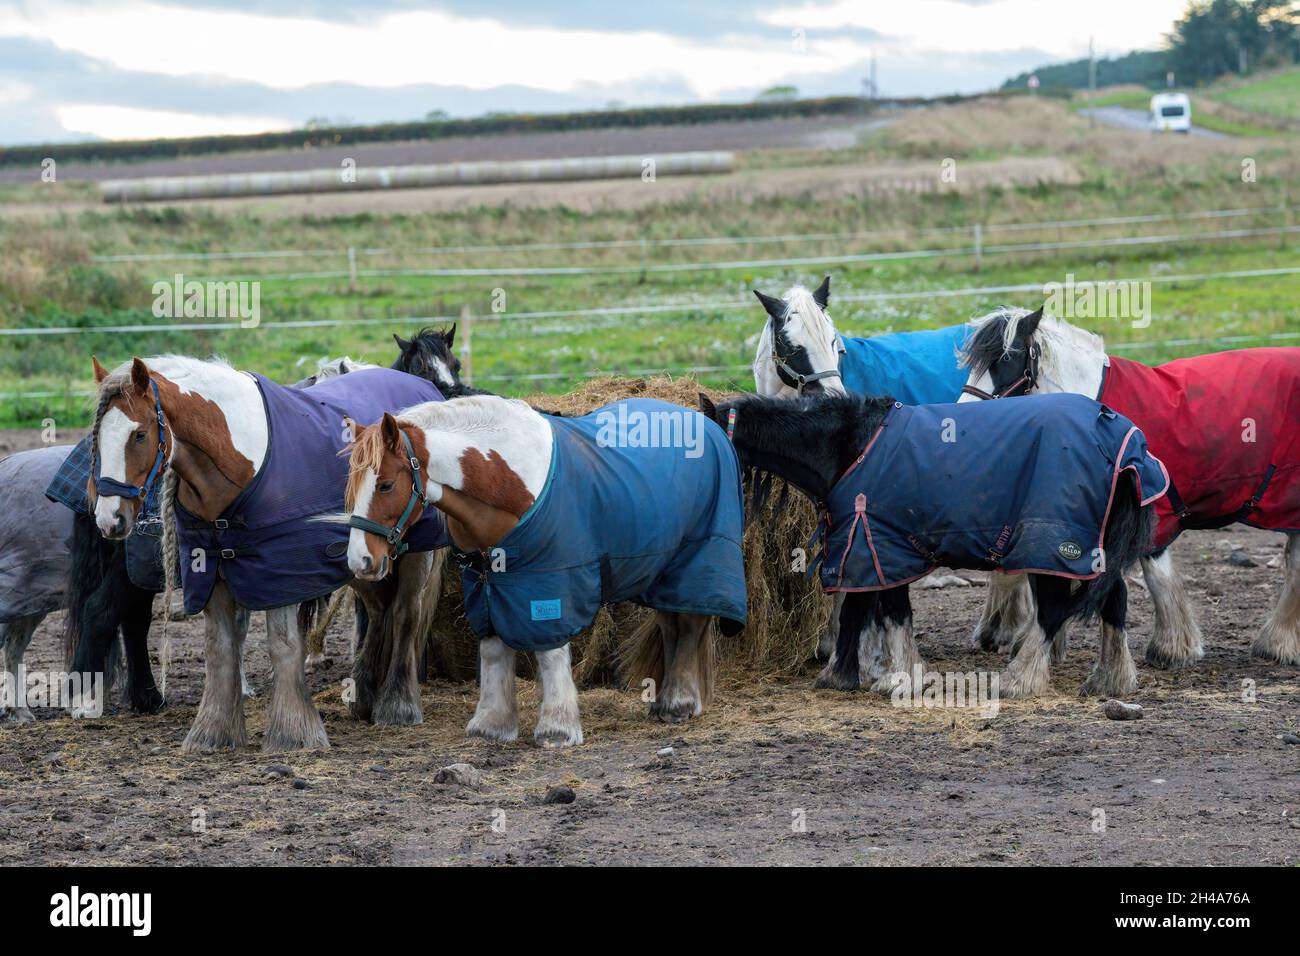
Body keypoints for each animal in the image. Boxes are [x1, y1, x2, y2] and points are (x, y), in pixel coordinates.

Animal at [88, 355, 451, 751]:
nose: (109, 519)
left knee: (403, 614)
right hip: (366, 556)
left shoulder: (280, 571)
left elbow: (284, 645)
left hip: (411, 553)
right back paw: (364, 695)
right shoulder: (211, 566)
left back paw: (398, 705)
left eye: (138, 434)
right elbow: (220, 647)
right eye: (97, 438)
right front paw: (213, 733)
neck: (238, 459)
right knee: (379, 609)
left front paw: (295, 732)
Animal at [341, 395, 747, 745]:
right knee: (671, 624)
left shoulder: (549, 583)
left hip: (700, 560)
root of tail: (707, 423)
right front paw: (492, 724)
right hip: (663, 572)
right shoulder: (487, 585)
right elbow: (493, 650)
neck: (505, 481)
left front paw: (557, 727)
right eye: (351, 488)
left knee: (690, 624)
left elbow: (549, 653)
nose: (359, 561)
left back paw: (678, 703)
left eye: (385, 485)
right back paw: (674, 701)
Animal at [701, 390, 1165, 698]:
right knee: (1113, 600)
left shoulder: (876, 546)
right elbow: (867, 612)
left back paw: (1018, 680)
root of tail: (1123, 442)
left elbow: (881, 614)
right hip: (1090, 550)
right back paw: (1111, 680)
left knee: (1053, 613)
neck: (848, 447)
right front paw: (858, 675)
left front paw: (892, 677)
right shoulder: (871, 550)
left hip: (1049, 547)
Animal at [961, 307, 1300, 668]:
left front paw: (1173, 647)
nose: (966, 420)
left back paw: (1277, 642)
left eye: (1005, 359)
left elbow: (1156, 573)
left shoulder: (1153, 504)